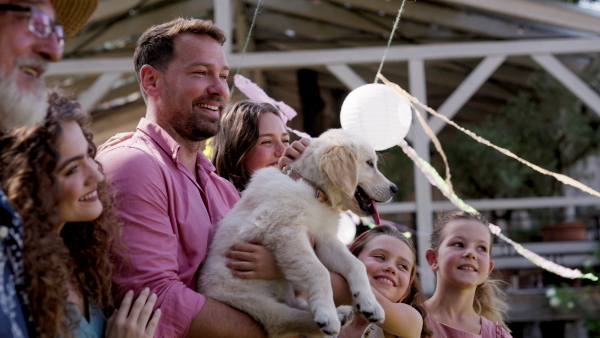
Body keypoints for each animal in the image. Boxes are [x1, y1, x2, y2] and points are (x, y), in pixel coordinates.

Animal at [200, 128, 398, 336]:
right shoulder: (286, 232)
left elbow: (356, 265)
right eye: (369, 163)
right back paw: (333, 319)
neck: (313, 189)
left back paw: (342, 314)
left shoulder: (323, 237)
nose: (395, 189)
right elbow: (319, 271)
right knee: (280, 321)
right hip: (249, 300)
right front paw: (327, 314)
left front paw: (370, 304)